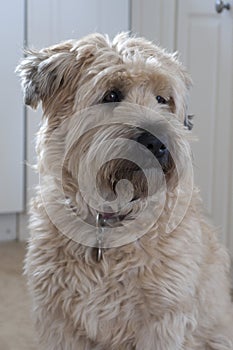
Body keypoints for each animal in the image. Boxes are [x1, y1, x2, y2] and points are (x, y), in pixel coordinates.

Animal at [16, 33, 233, 350]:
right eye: (112, 95)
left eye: (163, 99)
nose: (157, 142)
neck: (108, 220)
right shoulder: (60, 322)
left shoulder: (162, 321)